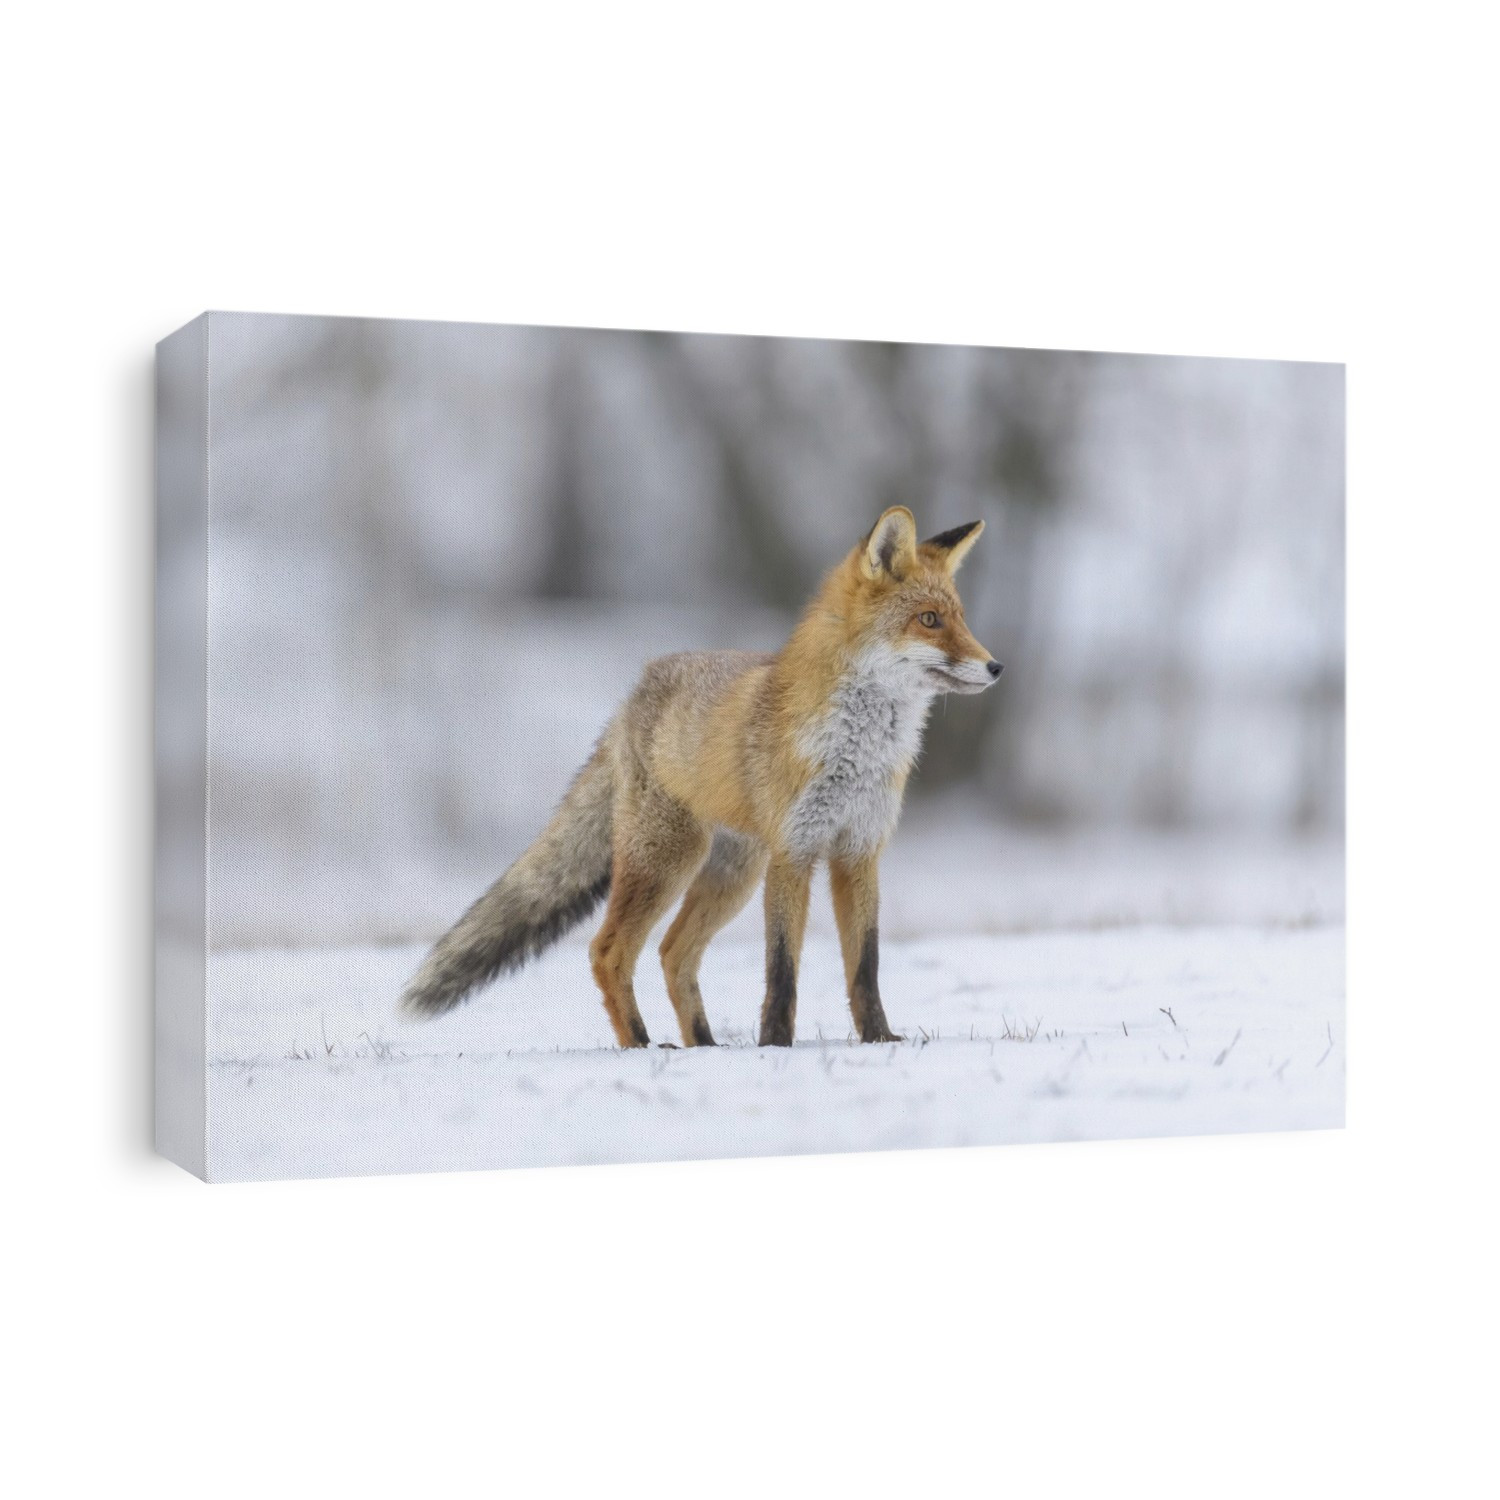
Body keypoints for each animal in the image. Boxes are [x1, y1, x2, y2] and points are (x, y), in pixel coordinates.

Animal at [400, 505, 1002, 1047]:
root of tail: (631, 697)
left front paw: (879, 1040)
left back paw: (704, 1044)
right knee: (608, 951)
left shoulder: (859, 852)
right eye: (929, 620)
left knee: (673, 953)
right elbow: (782, 967)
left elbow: (866, 967)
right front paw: (775, 1046)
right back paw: (642, 1045)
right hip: (669, 861)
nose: (997, 667)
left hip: (731, 875)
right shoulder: (794, 851)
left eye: (961, 617)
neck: (858, 752)